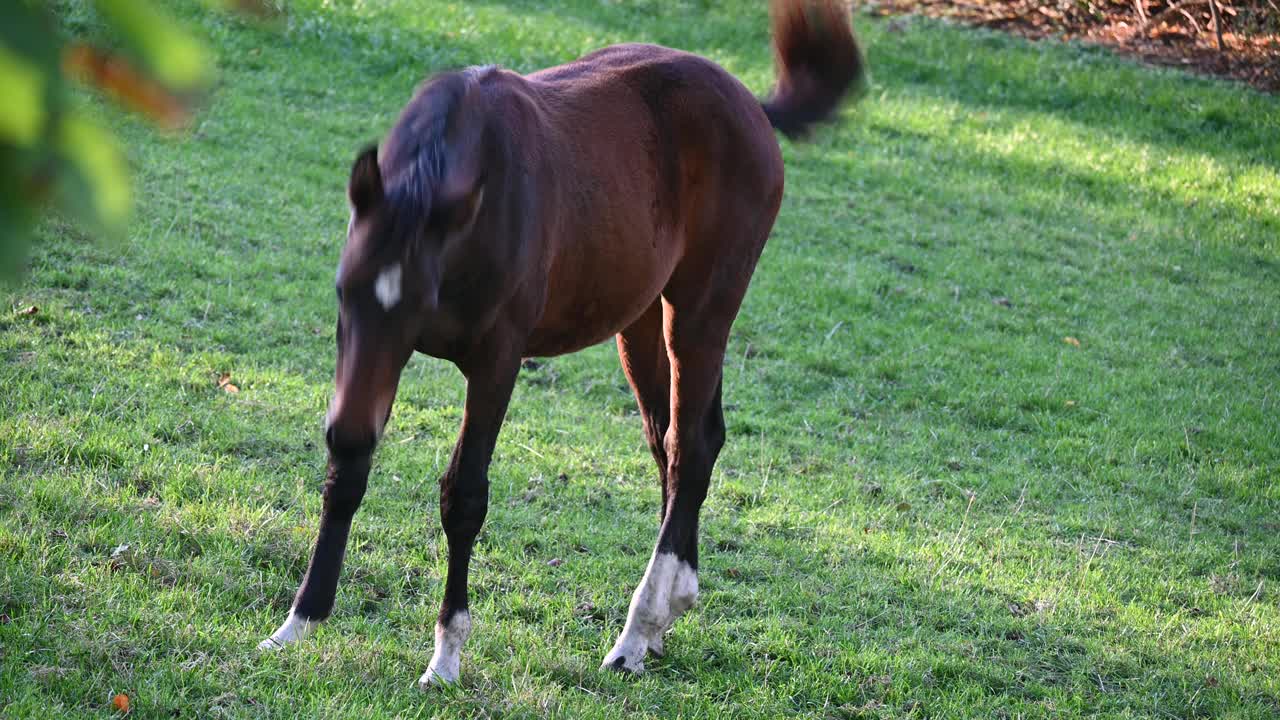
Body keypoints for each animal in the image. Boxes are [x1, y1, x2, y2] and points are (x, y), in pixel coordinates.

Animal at [257, 0, 860, 681]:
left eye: (420, 303)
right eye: (342, 292)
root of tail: (751, 106)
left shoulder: (496, 360)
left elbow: (464, 495)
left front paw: (446, 656)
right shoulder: (369, 356)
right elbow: (349, 468)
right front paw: (298, 622)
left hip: (702, 311)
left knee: (690, 444)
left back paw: (635, 632)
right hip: (639, 321)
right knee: (674, 439)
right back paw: (664, 617)